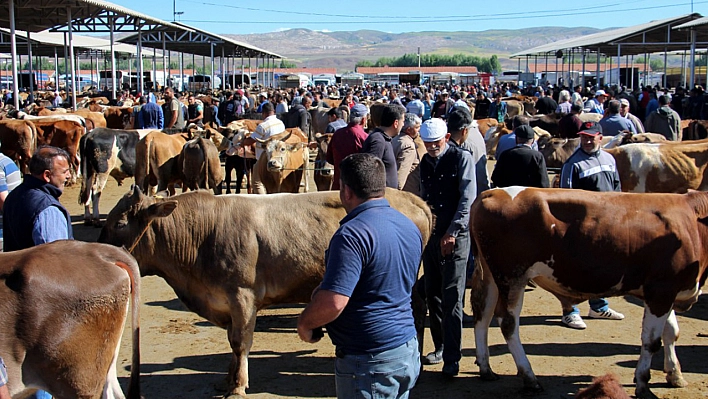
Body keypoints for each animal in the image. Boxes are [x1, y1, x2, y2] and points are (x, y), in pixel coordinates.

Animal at [98, 188, 432, 399]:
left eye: (120, 222)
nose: (98, 252)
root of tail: (409, 196)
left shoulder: (242, 296)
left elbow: (240, 342)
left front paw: (238, 385)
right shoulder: (226, 303)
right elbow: (232, 343)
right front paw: (227, 379)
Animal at [470, 188, 708, 399]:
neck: (692, 222)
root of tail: (491, 193)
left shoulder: (667, 292)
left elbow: (672, 333)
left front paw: (675, 374)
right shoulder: (661, 290)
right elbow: (651, 341)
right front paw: (643, 385)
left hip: (491, 275)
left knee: (482, 314)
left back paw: (486, 368)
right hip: (512, 277)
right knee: (508, 324)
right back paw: (530, 378)